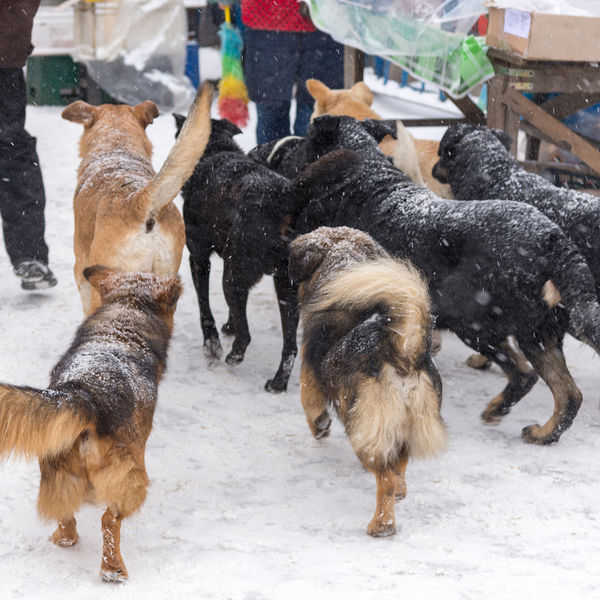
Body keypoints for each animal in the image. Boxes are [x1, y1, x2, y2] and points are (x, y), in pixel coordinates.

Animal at [0, 266, 182, 582]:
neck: (125, 314)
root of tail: (85, 394)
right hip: (130, 478)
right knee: (109, 520)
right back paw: (113, 569)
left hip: (58, 472)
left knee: (66, 522)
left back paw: (64, 539)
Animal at [173, 115, 360, 392]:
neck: (215, 151)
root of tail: (285, 195)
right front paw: (228, 326)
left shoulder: (198, 257)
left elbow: (204, 307)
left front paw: (212, 343)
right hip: (286, 286)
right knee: (290, 346)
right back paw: (278, 382)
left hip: (234, 275)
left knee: (246, 335)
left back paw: (234, 355)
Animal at [263, 114, 600, 445]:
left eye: (305, 141)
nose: (279, 155)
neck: (367, 180)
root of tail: (553, 239)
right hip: (539, 333)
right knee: (569, 395)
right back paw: (543, 434)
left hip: (475, 323)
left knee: (524, 375)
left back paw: (498, 409)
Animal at [289, 226, 446, 537]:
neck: (344, 263)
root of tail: (404, 353)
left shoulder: (309, 378)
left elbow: (310, 406)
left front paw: (320, 427)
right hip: (407, 423)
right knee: (399, 466)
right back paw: (400, 493)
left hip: (362, 424)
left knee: (385, 478)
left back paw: (382, 524)